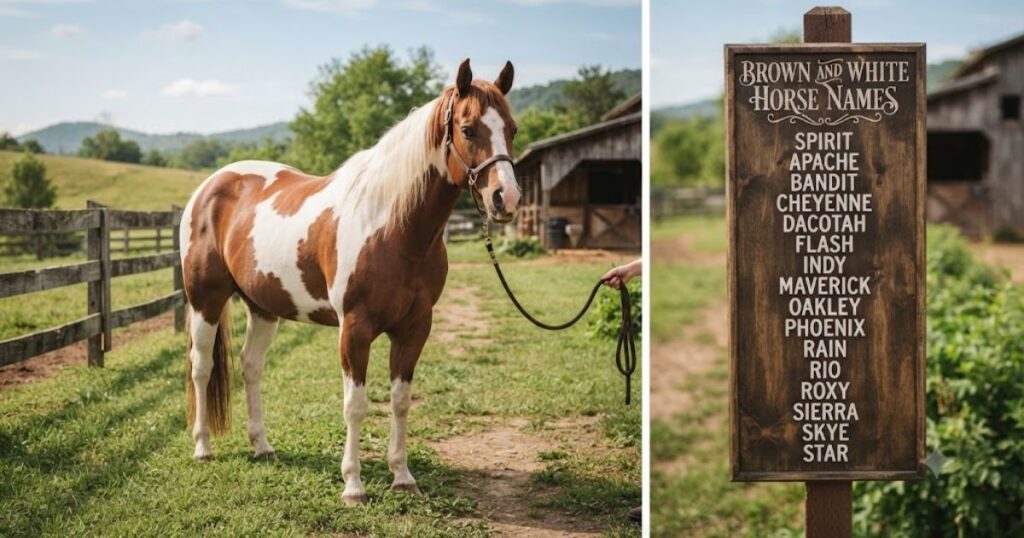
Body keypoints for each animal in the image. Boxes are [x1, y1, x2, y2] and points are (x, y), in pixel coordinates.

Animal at [178, 59, 520, 505]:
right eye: (467, 129)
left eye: (512, 128)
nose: (505, 199)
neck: (393, 227)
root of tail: (209, 187)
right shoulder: (355, 329)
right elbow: (355, 404)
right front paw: (353, 485)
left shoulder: (414, 327)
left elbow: (400, 400)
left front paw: (402, 476)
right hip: (206, 300)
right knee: (201, 366)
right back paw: (203, 447)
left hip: (263, 307)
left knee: (251, 367)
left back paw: (262, 446)